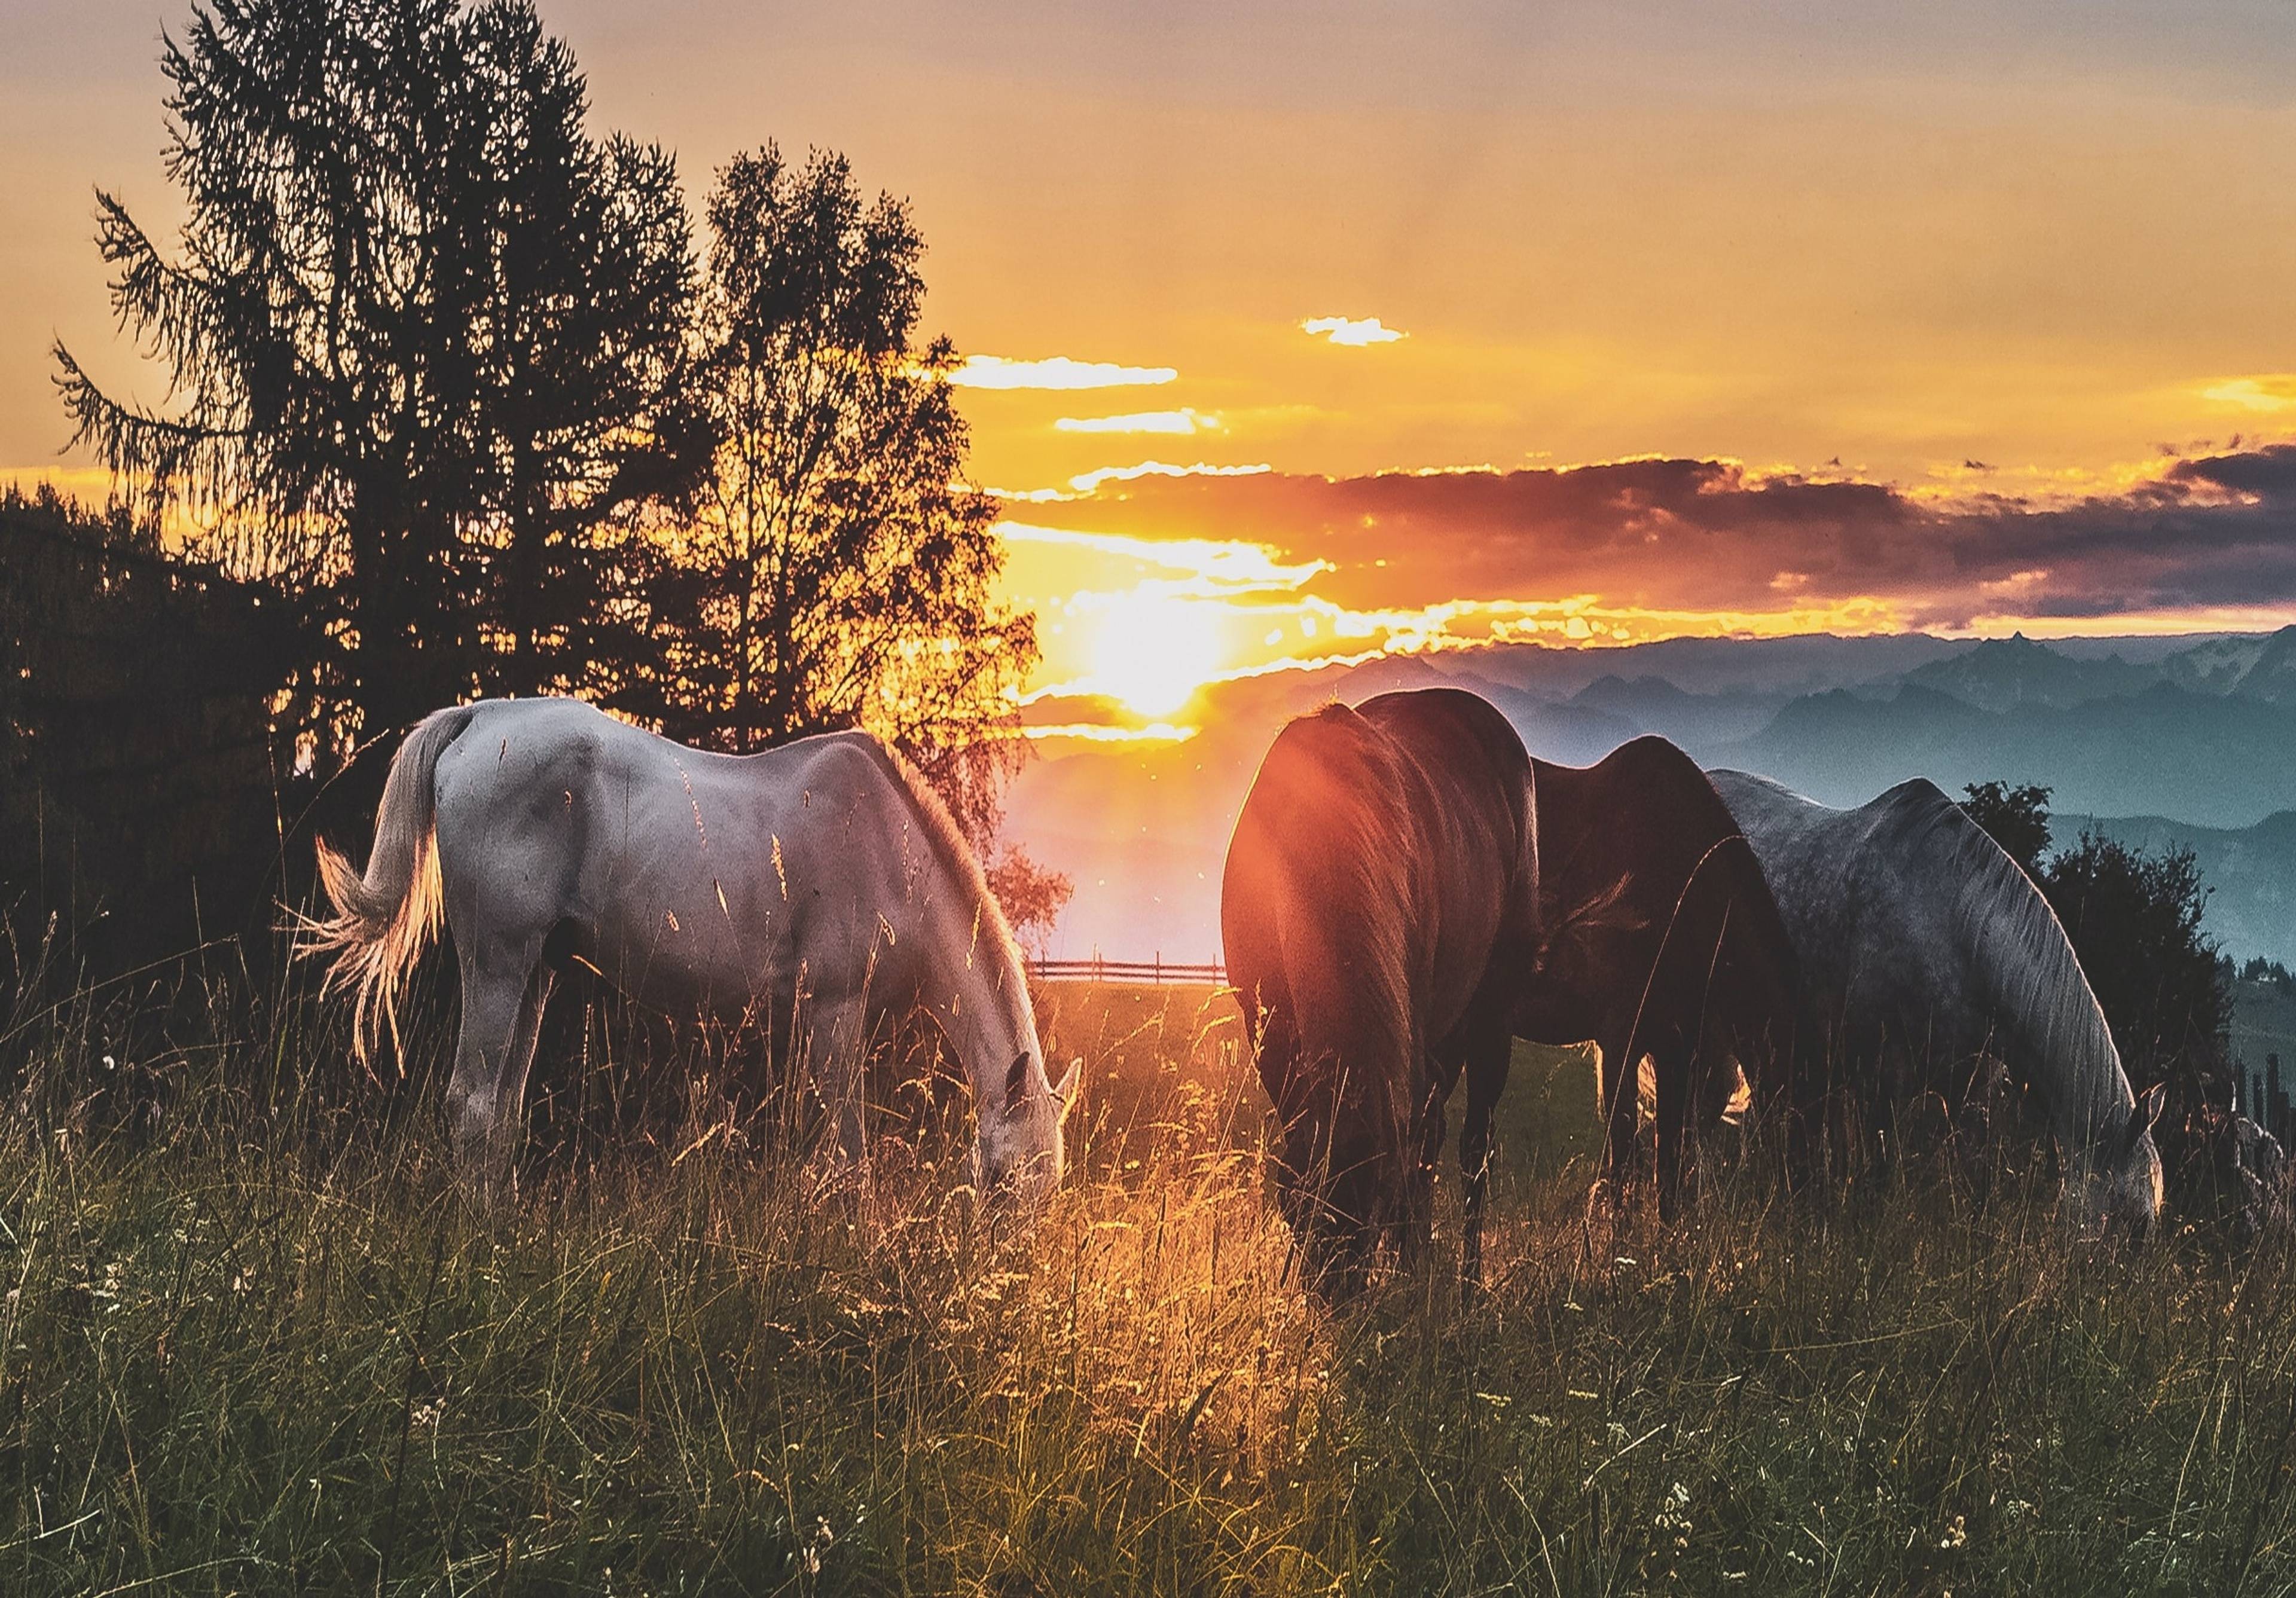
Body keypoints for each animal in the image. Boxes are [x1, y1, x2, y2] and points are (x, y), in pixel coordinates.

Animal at [301, 693, 1079, 1203]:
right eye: (1003, 1181)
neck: (890, 849)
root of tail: (479, 719)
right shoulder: (835, 1010)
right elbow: (848, 1158)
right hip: (496, 961)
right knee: (473, 1104)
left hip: (535, 973)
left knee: (503, 1112)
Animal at [1221, 689, 1543, 1285]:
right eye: (1297, 1212)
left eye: (1367, 1220)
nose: (1335, 1297)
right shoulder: (1270, 1035)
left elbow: (1418, 1158)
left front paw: (1411, 1266)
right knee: (1434, 1134)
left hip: (1492, 1018)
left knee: (1471, 1149)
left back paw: (1463, 1281)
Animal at [1708, 766, 2167, 1230]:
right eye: (2134, 1221)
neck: (1951, 928)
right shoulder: (1881, 1081)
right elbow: (1878, 1174)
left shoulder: (1971, 1092)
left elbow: (1978, 1182)